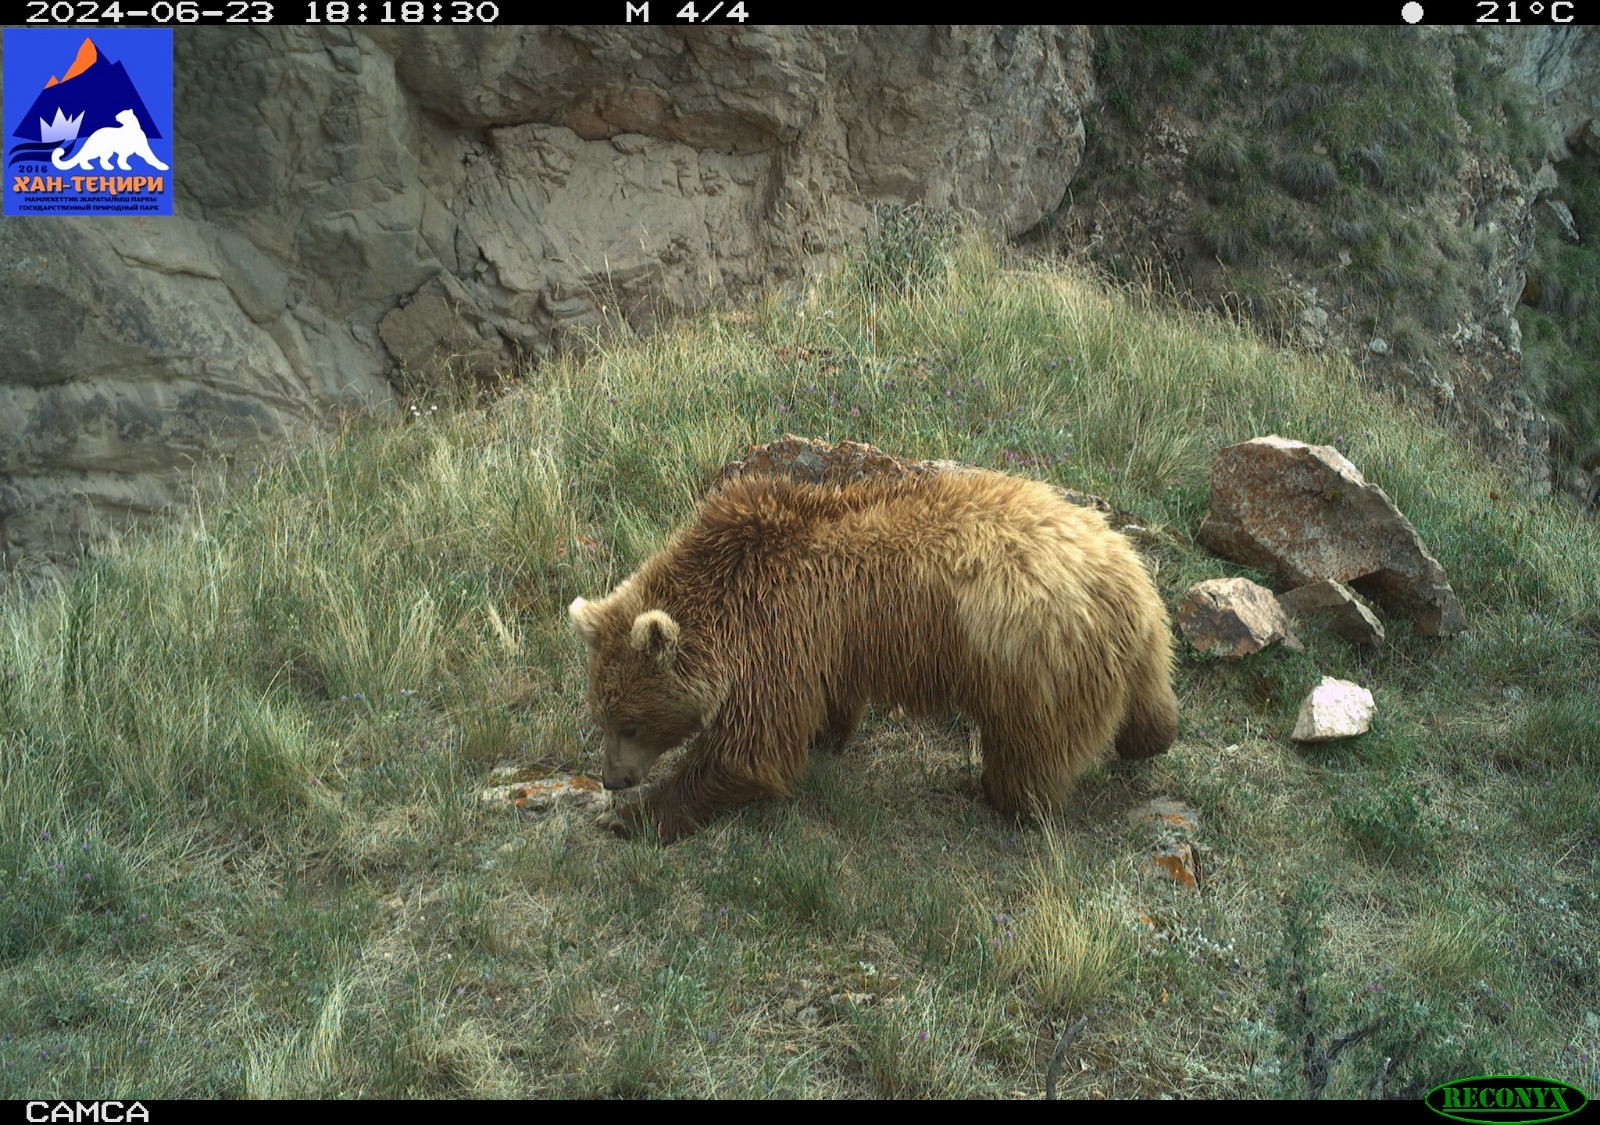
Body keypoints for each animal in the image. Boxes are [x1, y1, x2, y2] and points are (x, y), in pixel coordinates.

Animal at [568, 469, 1177, 843]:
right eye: (601, 714)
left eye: (630, 722)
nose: (612, 779)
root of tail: (1121, 577)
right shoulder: (823, 638)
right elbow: (827, 701)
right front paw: (827, 735)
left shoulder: (773, 631)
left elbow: (751, 750)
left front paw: (635, 818)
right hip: (1140, 650)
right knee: (1149, 709)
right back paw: (1151, 738)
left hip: (1027, 656)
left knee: (1030, 747)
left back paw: (1004, 797)